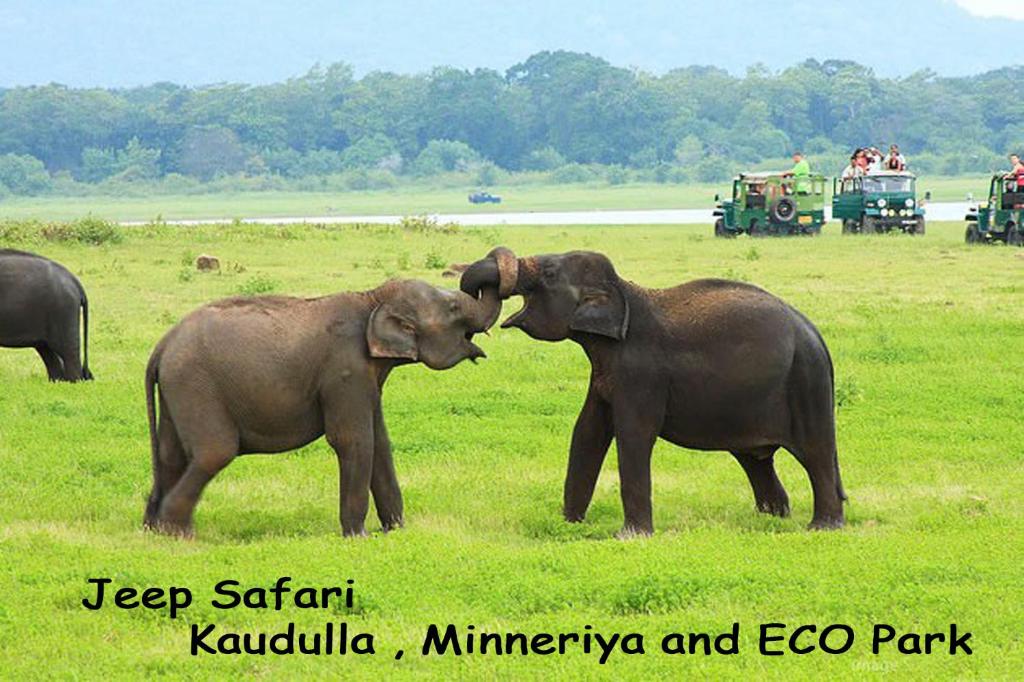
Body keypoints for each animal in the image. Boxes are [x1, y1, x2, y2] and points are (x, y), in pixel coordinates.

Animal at [0, 249, 93, 382]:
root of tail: (75, 281)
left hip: (63, 310)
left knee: (68, 353)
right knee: (48, 352)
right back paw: (57, 381)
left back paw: (74, 382)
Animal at [144, 252, 517, 538]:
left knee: (171, 455)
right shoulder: (345, 371)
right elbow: (353, 440)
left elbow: (380, 442)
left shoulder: (367, 379)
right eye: (453, 307)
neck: (372, 298)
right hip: (196, 386)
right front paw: (359, 536)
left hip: (177, 392)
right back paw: (178, 533)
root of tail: (161, 346)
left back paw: (153, 529)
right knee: (214, 453)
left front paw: (396, 532)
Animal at [460, 248, 846, 537]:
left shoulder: (639, 372)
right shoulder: (605, 373)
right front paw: (569, 526)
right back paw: (771, 518)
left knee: (815, 453)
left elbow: (634, 434)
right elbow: (586, 431)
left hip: (805, 384)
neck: (624, 291)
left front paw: (629, 536)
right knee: (755, 458)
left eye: (551, 272)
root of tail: (815, 333)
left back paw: (822, 527)